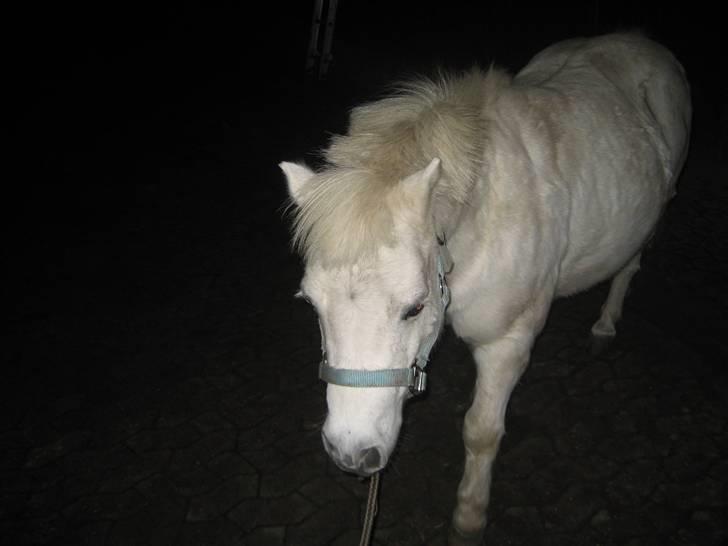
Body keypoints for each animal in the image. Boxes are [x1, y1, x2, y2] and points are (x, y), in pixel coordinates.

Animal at [280, 33, 690, 544]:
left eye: (414, 308)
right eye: (312, 305)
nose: (352, 454)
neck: (482, 216)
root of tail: (643, 42)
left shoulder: (506, 344)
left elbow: (481, 432)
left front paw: (469, 518)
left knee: (629, 265)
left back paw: (606, 324)